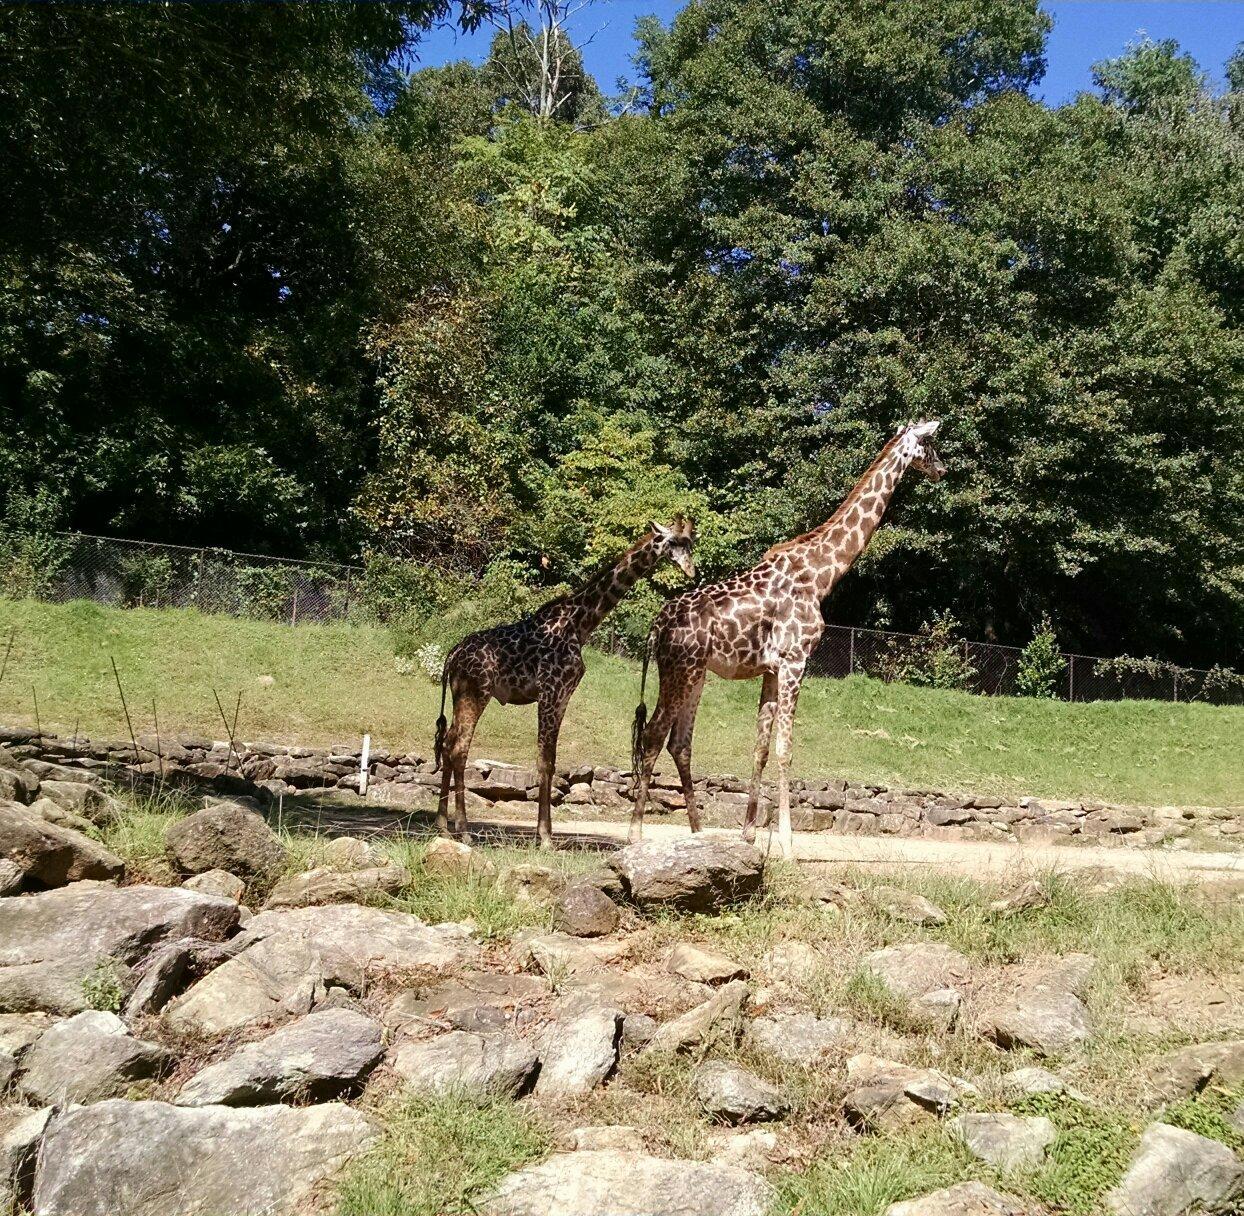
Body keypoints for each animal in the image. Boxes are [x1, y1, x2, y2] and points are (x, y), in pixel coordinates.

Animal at [432, 520, 696, 846]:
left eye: (690, 544)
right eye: (672, 542)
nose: (691, 571)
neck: (579, 623)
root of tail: (452, 656)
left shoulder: (564, 694)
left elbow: (552, 760)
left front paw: (545, 833)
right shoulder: (550, 689)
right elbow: (544, 760)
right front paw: (545, 837)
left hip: (461, 694)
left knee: (446, 743)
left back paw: (443, 826)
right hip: (475, 692)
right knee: (459, 748)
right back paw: (464, 830)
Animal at [631, 423, 940, 861]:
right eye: (930, 444)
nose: (942, 470)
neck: (822, 573)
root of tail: (656, 624)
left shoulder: (771, 670)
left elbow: (760, 747)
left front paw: (748, 837)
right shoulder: (796, 661)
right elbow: (784, 749)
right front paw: (788, 845)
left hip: (695, 674)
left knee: (679, 742)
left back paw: (697, 833)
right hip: (679, 669)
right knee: (654, 735)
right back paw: (636, 834)